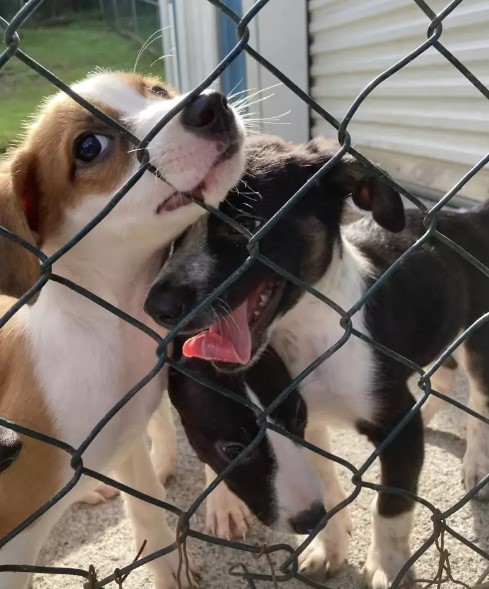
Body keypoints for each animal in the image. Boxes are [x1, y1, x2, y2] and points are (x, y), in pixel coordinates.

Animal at [0, 70, 244, 588]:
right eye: (89, 147)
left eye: (157, 91)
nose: (211, 104)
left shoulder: (129, 435)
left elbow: (147, 510)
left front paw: (171, 570)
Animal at [144, 136, 488, 584]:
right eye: (171, 235)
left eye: (245, 226)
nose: (158, 306)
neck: (309, 336)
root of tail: (468, 214)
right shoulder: (305, 421)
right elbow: (323, 482)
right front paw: (329, 547)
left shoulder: (397, 426)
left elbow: (392, 508)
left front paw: (389, 566)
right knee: (444, 373)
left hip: (477, 336)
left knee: (479, 396)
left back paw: (476, 462)